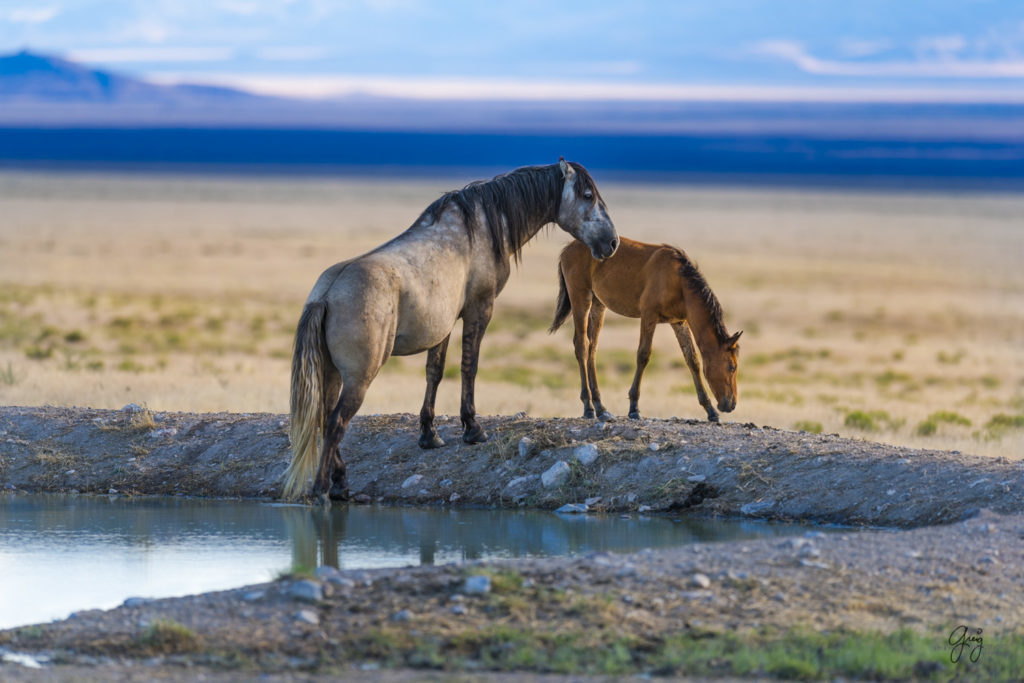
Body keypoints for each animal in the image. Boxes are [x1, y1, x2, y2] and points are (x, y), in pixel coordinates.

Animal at [280, 160, 614, 501]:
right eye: (588, 195)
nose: (611, 243)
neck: (482, 228)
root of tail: (326, 295)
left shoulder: (442, 327)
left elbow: (435, 372)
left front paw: (430, 435)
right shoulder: (479, 310)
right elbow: (469, 366)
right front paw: (472, 428)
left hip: (332, 374)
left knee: (324, 420)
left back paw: (341, 481)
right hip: (358, 377)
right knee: (336, 423)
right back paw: (324, 487)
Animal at [552, 237, 737, 423]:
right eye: (732, 367)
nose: (731, 404)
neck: (679, 280)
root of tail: (569, 248)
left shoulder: (679, 322)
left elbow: (692, 360)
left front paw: (710, 410)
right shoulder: (649, 316)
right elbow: (643, 355)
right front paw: (634, 408)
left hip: (598, 304)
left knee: (592, 348)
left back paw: (600, 407)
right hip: (580, 298)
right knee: (582, 346)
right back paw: (588, 407)